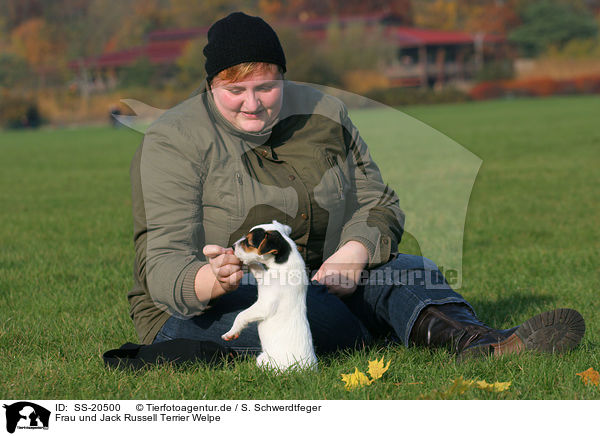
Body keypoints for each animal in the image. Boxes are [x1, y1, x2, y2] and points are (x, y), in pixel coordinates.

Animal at [221, 220, 316, 370]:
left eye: (248, 242)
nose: (232, 246)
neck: (284, 265)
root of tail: (305, 371)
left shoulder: (265, 305)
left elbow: (241, 315)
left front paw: (231, 333)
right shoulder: (263, 277)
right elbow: (257, 266)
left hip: (263, 359)